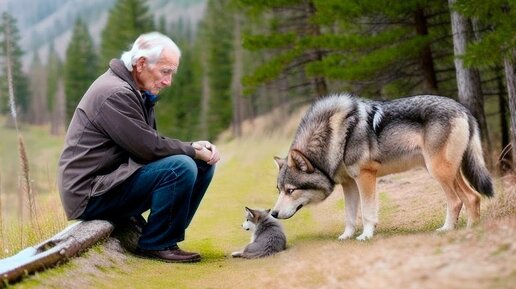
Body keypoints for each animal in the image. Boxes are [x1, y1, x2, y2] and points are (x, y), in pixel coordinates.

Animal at [270, 93, 492, 240]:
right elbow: (349, 216)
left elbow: (368, 212)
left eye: (291, 190)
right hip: (449, 173)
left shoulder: (365, 177)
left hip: (439, 172)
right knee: (473, 197)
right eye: (279, 190)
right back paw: (472, 229)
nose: (273, 214)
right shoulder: (349, 184)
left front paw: (366, 236)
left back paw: (448, 230)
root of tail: (463, 109)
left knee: (457, 201)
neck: (334, 136)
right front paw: (346, 237)